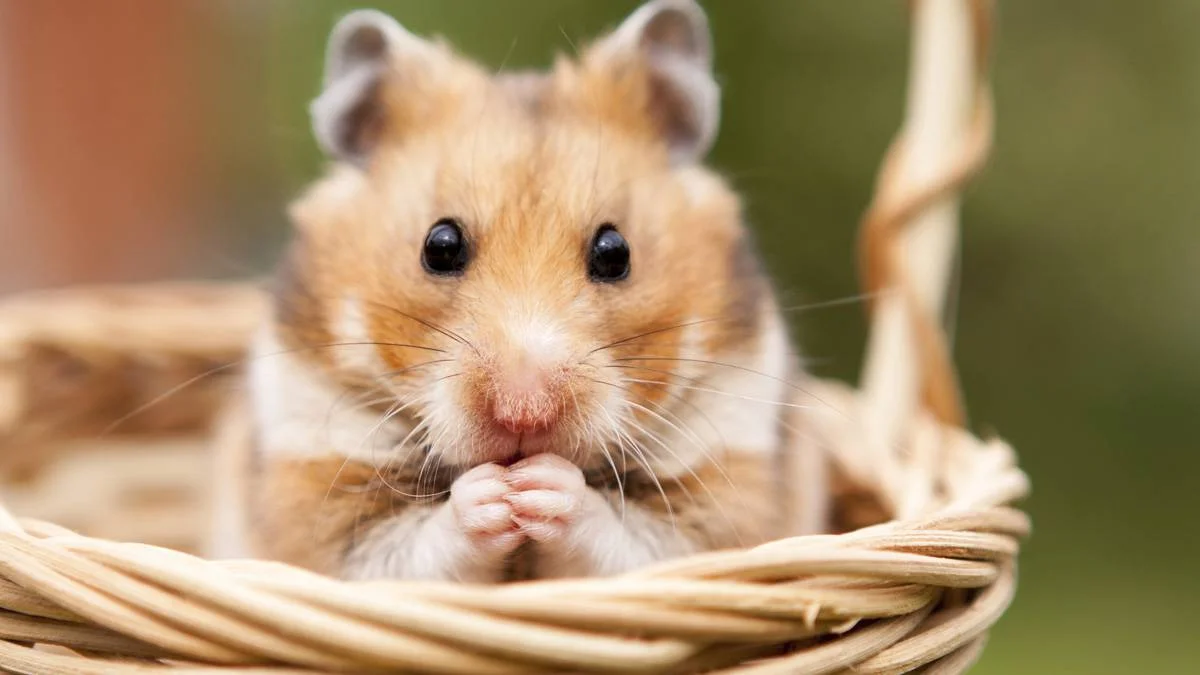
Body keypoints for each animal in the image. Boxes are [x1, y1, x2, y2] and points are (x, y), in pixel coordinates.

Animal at [222, 0, 828, 582]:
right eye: (439, 245)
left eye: (616, 252)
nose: (524, 415)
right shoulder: (315, 487)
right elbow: (407, 550)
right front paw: (495, 496)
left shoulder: (726, 490)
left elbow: (634, 541)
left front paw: (541, 486)